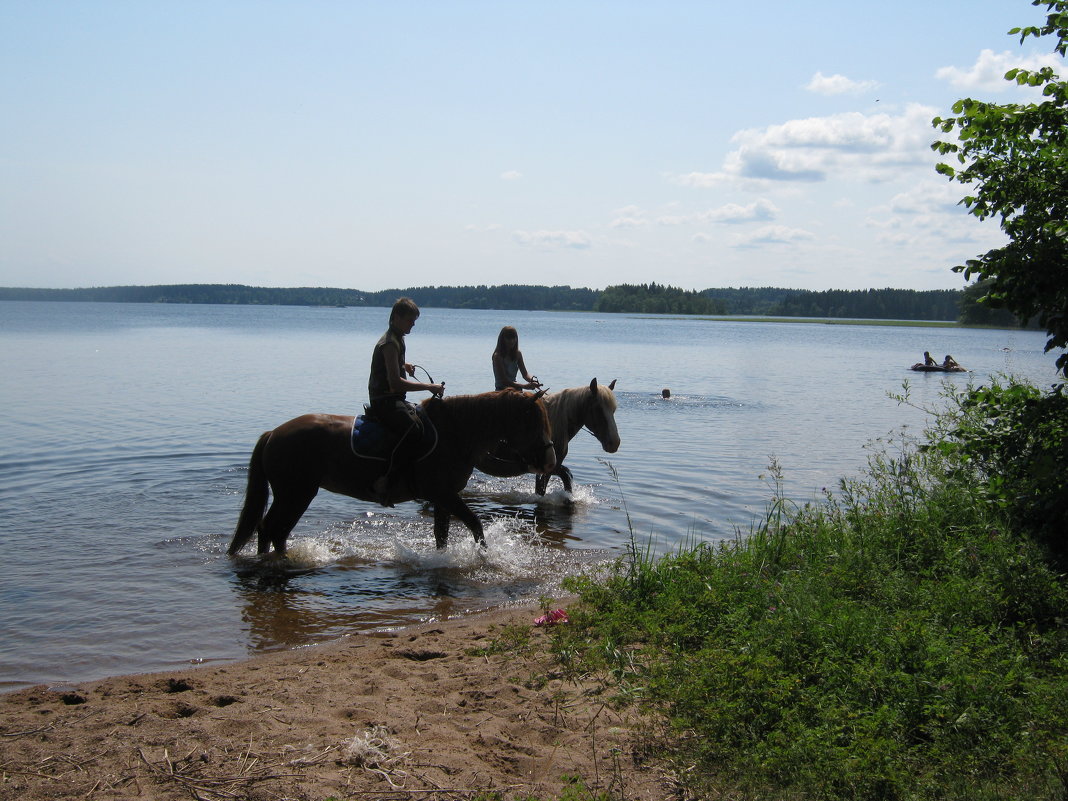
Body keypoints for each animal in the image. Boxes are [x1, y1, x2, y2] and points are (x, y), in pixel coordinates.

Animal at [228, 390, 555, 559]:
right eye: (533, 419)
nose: (550, 461)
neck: (455, 432)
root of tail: (273, 434)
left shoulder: (443, 496)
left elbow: (442, 534)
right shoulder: (444, 494)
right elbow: (475, 524)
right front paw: (486, 558)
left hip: (295, 494)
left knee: (274, 531)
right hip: (295, 494)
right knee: (271, 529)